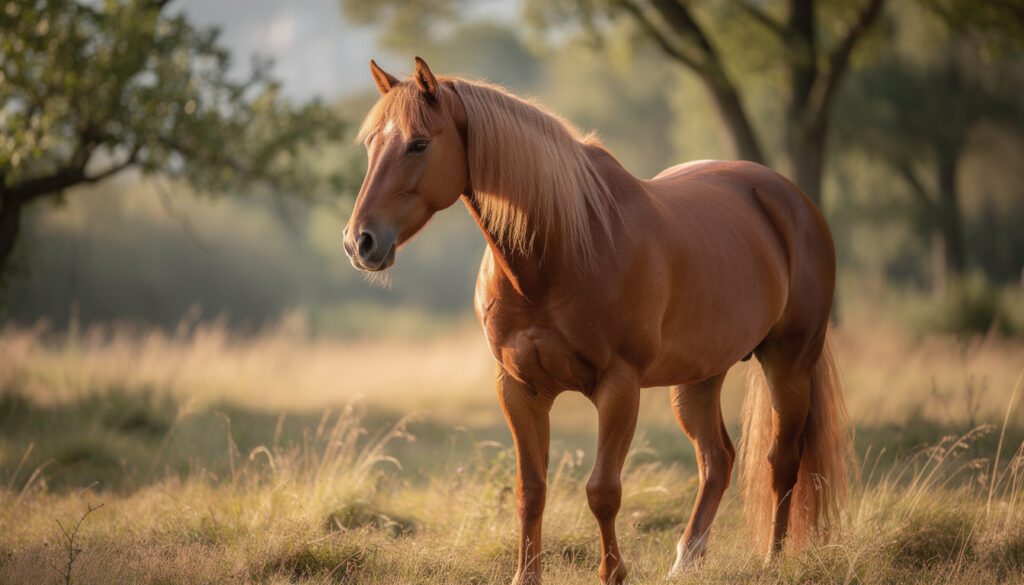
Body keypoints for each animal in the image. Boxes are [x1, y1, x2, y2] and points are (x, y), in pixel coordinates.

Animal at [343, 57, 852, 585]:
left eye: (419, 143)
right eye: (370, 144)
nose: (360, 241)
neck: (562, 250)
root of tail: (791, 199)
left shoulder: (618, 386)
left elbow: (603, 491)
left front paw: (613, 573)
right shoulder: (518, 388)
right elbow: (531, 489)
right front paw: (526, 575)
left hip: (789, 362)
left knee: (782, 461)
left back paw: (773, 559)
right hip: (700, 377)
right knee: (717, 460)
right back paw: (686, 560)